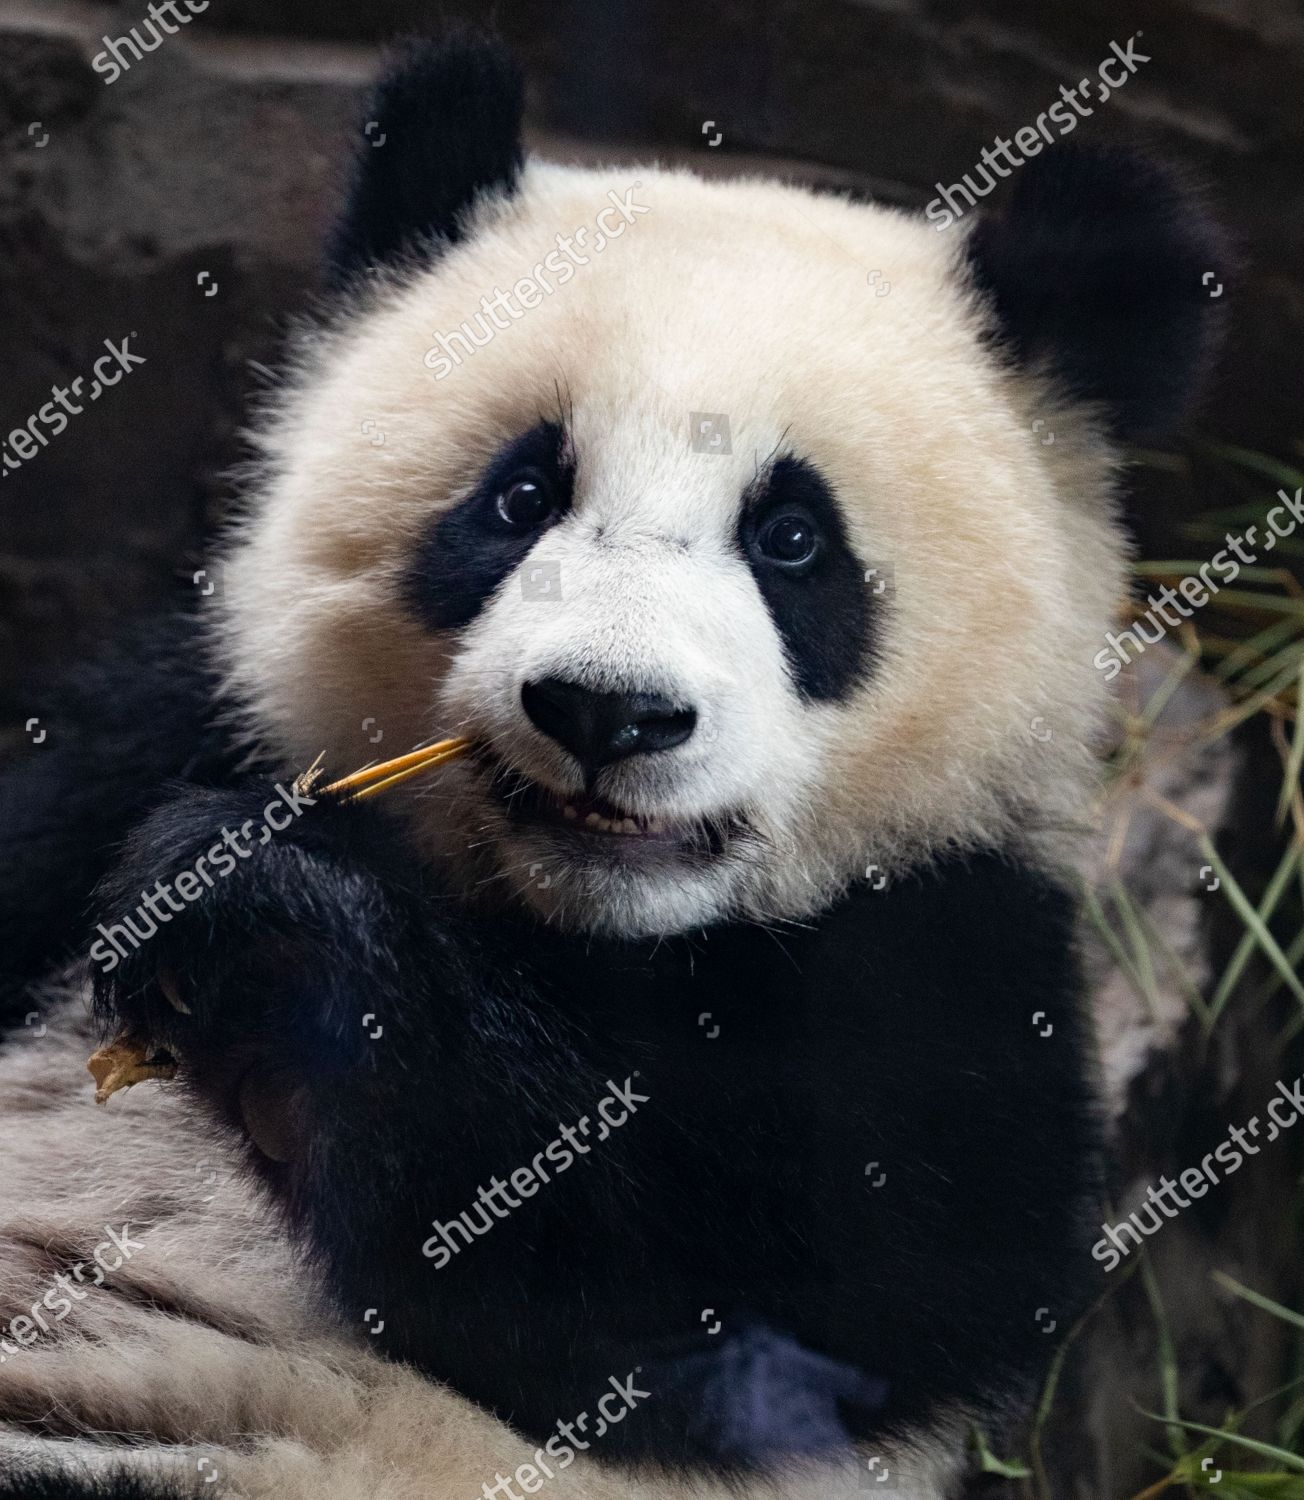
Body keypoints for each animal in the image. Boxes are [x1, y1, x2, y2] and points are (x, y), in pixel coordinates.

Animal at [0, 26, 1218, 1500]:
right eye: (522, 496)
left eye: (792, 540)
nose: (605, 712)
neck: (588, 932)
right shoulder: (167, 725)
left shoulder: (954, 959)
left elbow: (716, 1318)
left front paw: (270, 920)